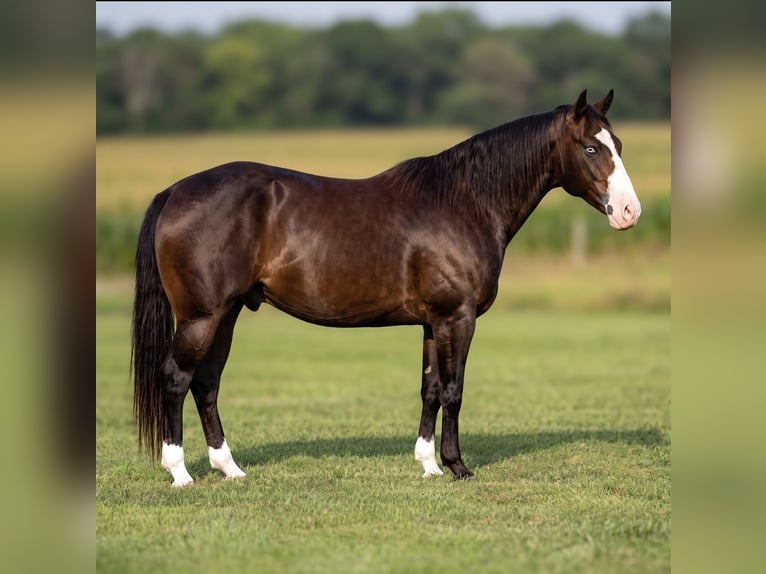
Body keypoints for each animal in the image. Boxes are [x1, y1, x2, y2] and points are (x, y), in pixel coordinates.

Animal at [131, 90, 641, 486]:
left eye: (616, 143)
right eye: (590, 148)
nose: (629, 212)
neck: (465, 202)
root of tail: (175, 192)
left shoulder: (433, 323)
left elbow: (430, 389)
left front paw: (428, 465)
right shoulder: (457, 318)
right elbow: (454, 390)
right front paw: (457, 467)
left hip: (229, 312)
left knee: (206, 383)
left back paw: (229, 468)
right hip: (201, 317)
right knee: (175, 378)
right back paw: (180, 473)